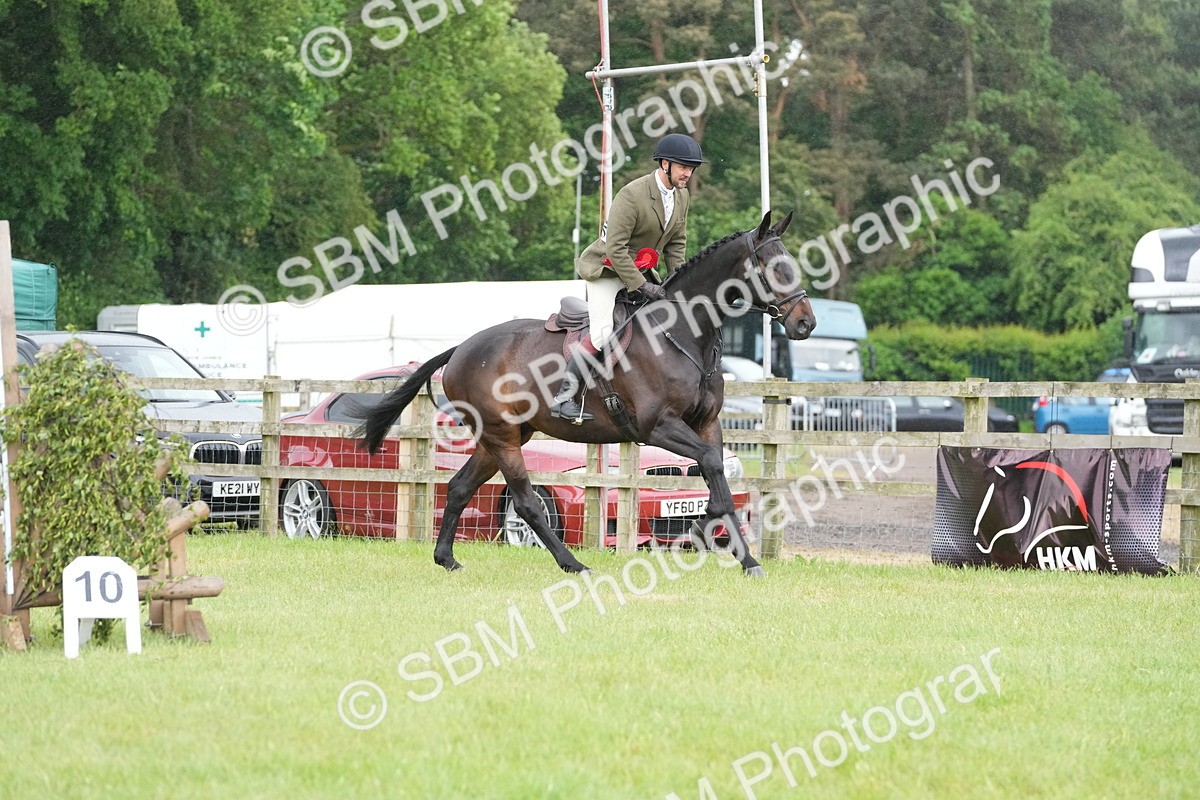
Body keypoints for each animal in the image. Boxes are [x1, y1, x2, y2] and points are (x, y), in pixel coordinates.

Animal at [355, 210, 816, 576]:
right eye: (776, 268)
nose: (806, 324)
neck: (682, 332)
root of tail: (462, 348)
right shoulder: (657, 427)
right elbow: (710, 467)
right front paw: (703, 533)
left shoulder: (705, 424)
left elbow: (716, 474)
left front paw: (743, 557)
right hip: (503, 437)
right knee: (526, 502)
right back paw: (574, 564)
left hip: (501, 437)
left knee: (458, 487)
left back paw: (446, 558)